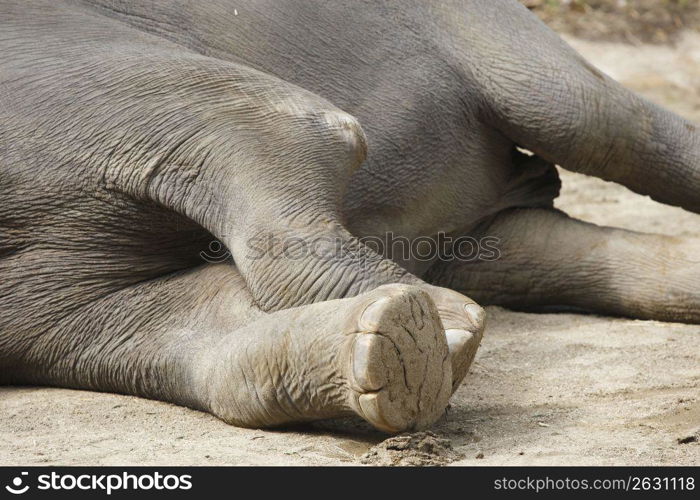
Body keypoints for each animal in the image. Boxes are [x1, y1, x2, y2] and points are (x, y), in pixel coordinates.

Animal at [0, 0, 696, 434]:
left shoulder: (67, 71)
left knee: (590, 115)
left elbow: (285, 129)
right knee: (527, 249)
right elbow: (158, 327)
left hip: (479, 27)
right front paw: (405, 352)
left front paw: (444, 328)